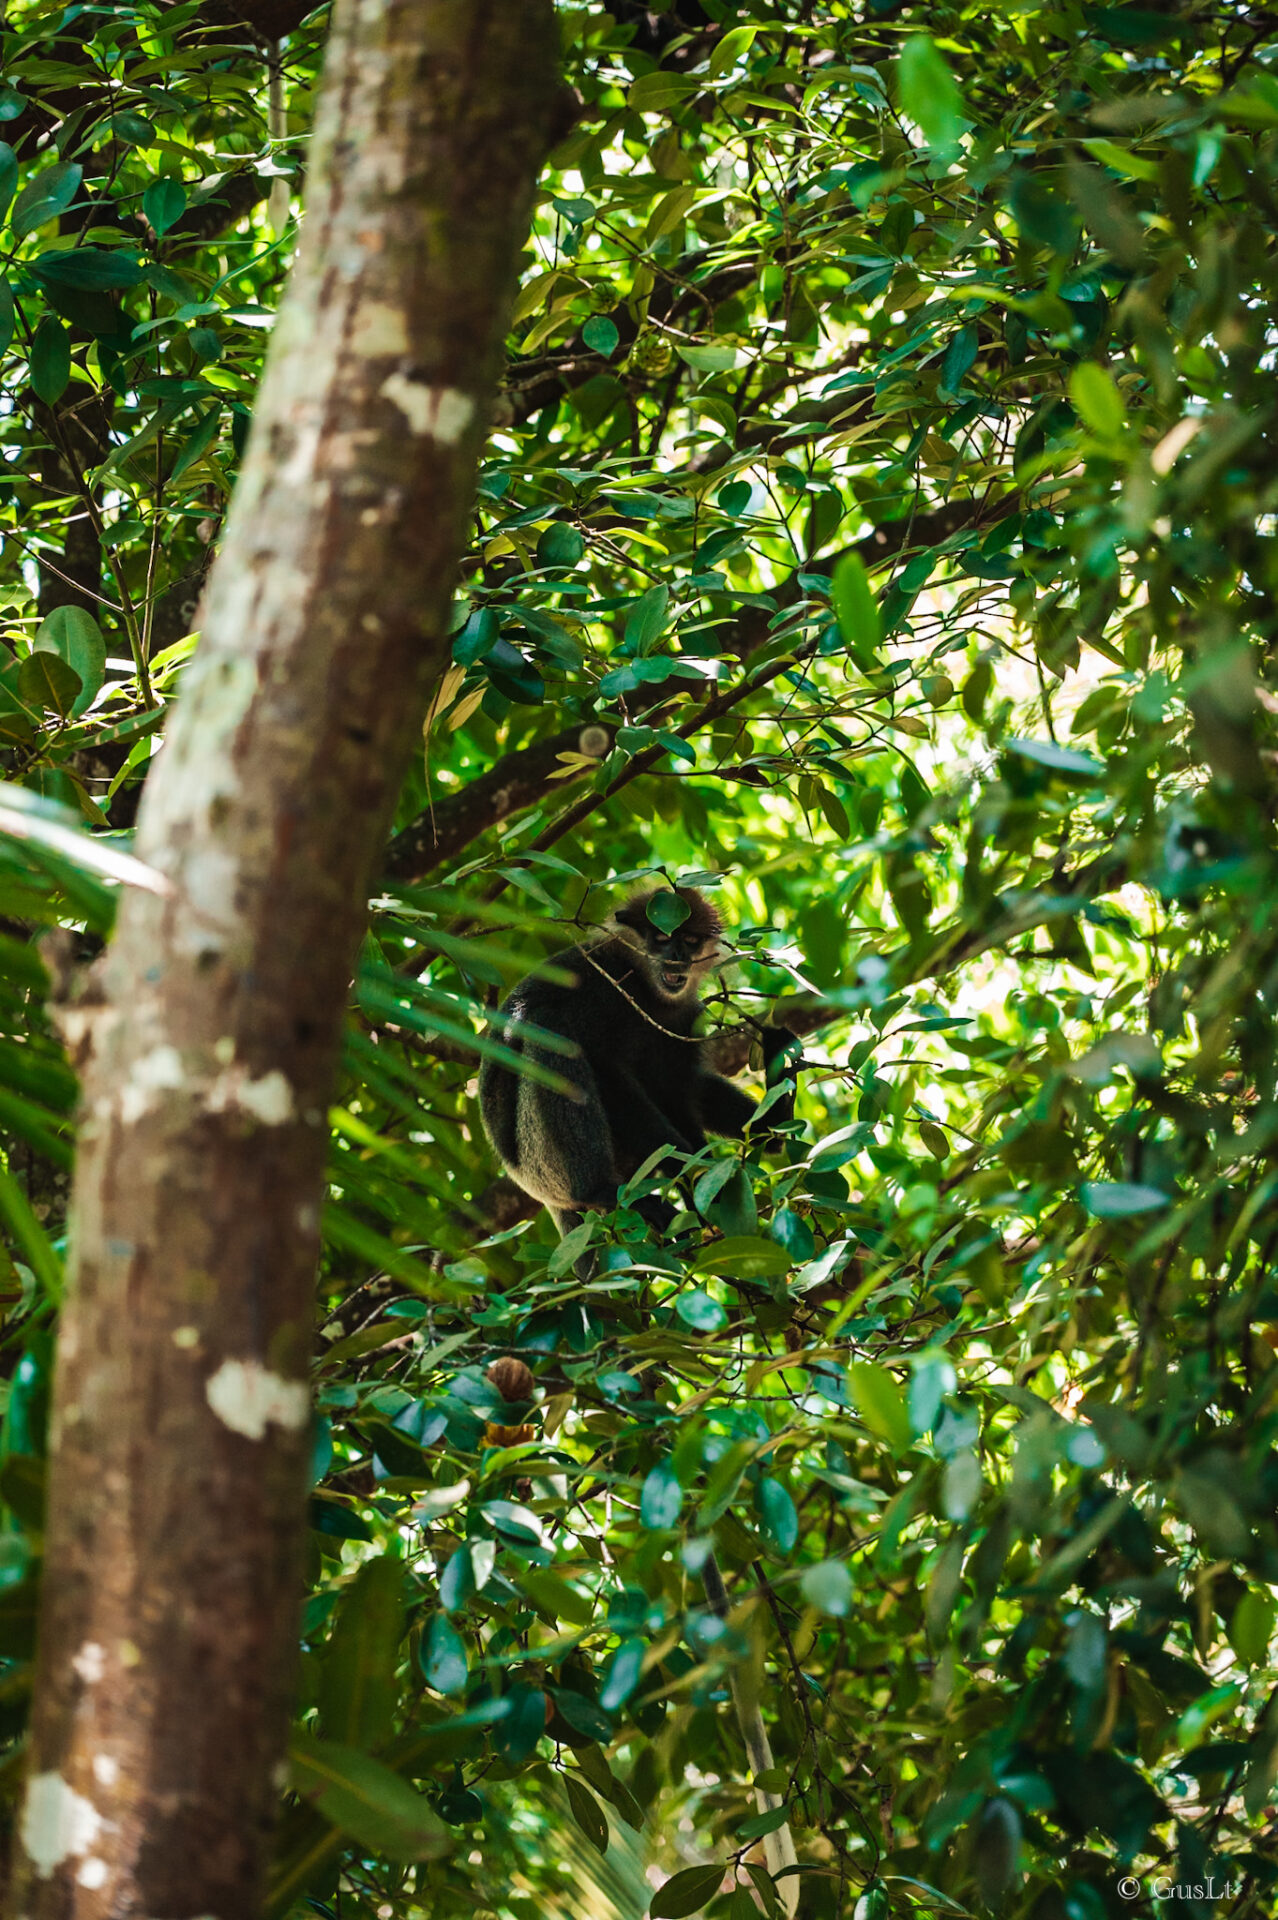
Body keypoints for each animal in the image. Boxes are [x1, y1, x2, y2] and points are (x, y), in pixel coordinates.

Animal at [477, 887, 798, 1244]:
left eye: (690, 940)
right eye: (662, 937)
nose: (677, 955)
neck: (646, 992)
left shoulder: (684, 1019)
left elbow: (674, 1091)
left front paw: (704, 1190)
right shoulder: (602, 989)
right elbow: (606, 1073)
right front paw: (689, 1171)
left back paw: (774, 1120)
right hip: (541, 1168)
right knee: (551, 1029)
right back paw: (599, 1190)